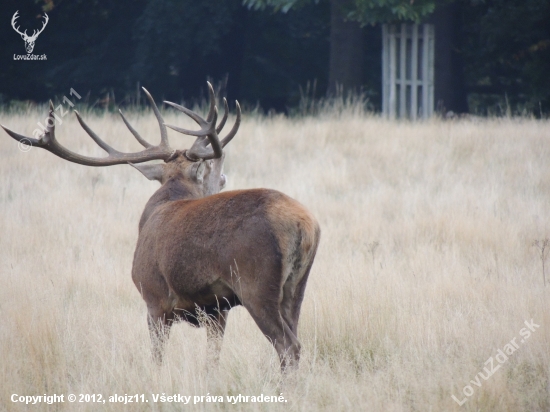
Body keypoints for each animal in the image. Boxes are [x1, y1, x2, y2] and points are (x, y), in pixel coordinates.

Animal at [2, 83, 322, 370]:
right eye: (213, 173)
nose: (223, 178)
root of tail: (305, 225)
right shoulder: (217, 309)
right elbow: (212, 361)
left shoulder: (153, 297)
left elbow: (156, 359)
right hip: (296, 287)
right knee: (296, 339)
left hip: (255, 281)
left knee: (288, 346)